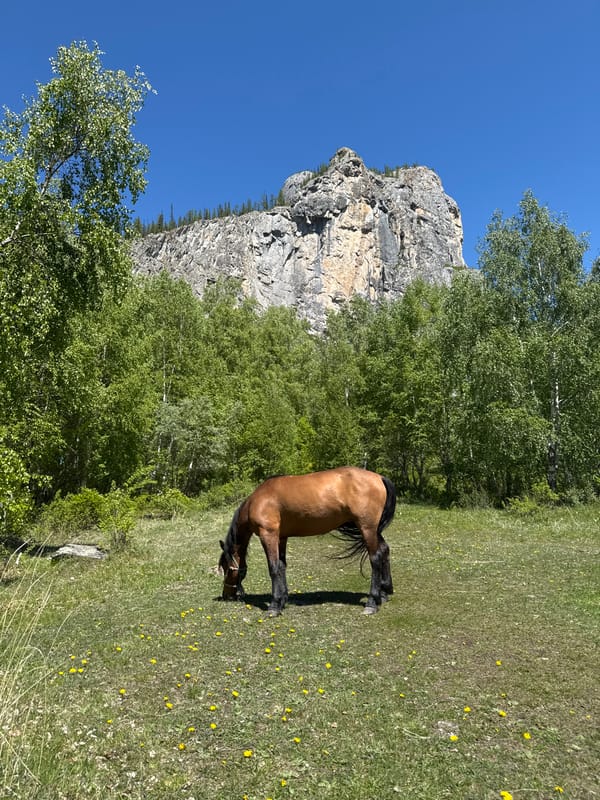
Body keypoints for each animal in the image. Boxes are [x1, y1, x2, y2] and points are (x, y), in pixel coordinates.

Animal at [218, 466, 396, 616]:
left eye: (227, 569)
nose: (226, 595)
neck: (258, 501)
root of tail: (379, 477)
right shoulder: (281, 538)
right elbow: (282, 566)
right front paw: (282, 599)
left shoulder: (268, 535)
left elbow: (273, 568)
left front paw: (274, 605)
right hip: (372, 530)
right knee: (384, 551)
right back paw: (384, 592)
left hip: (367, 528)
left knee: (375, 559)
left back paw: (372, 602)